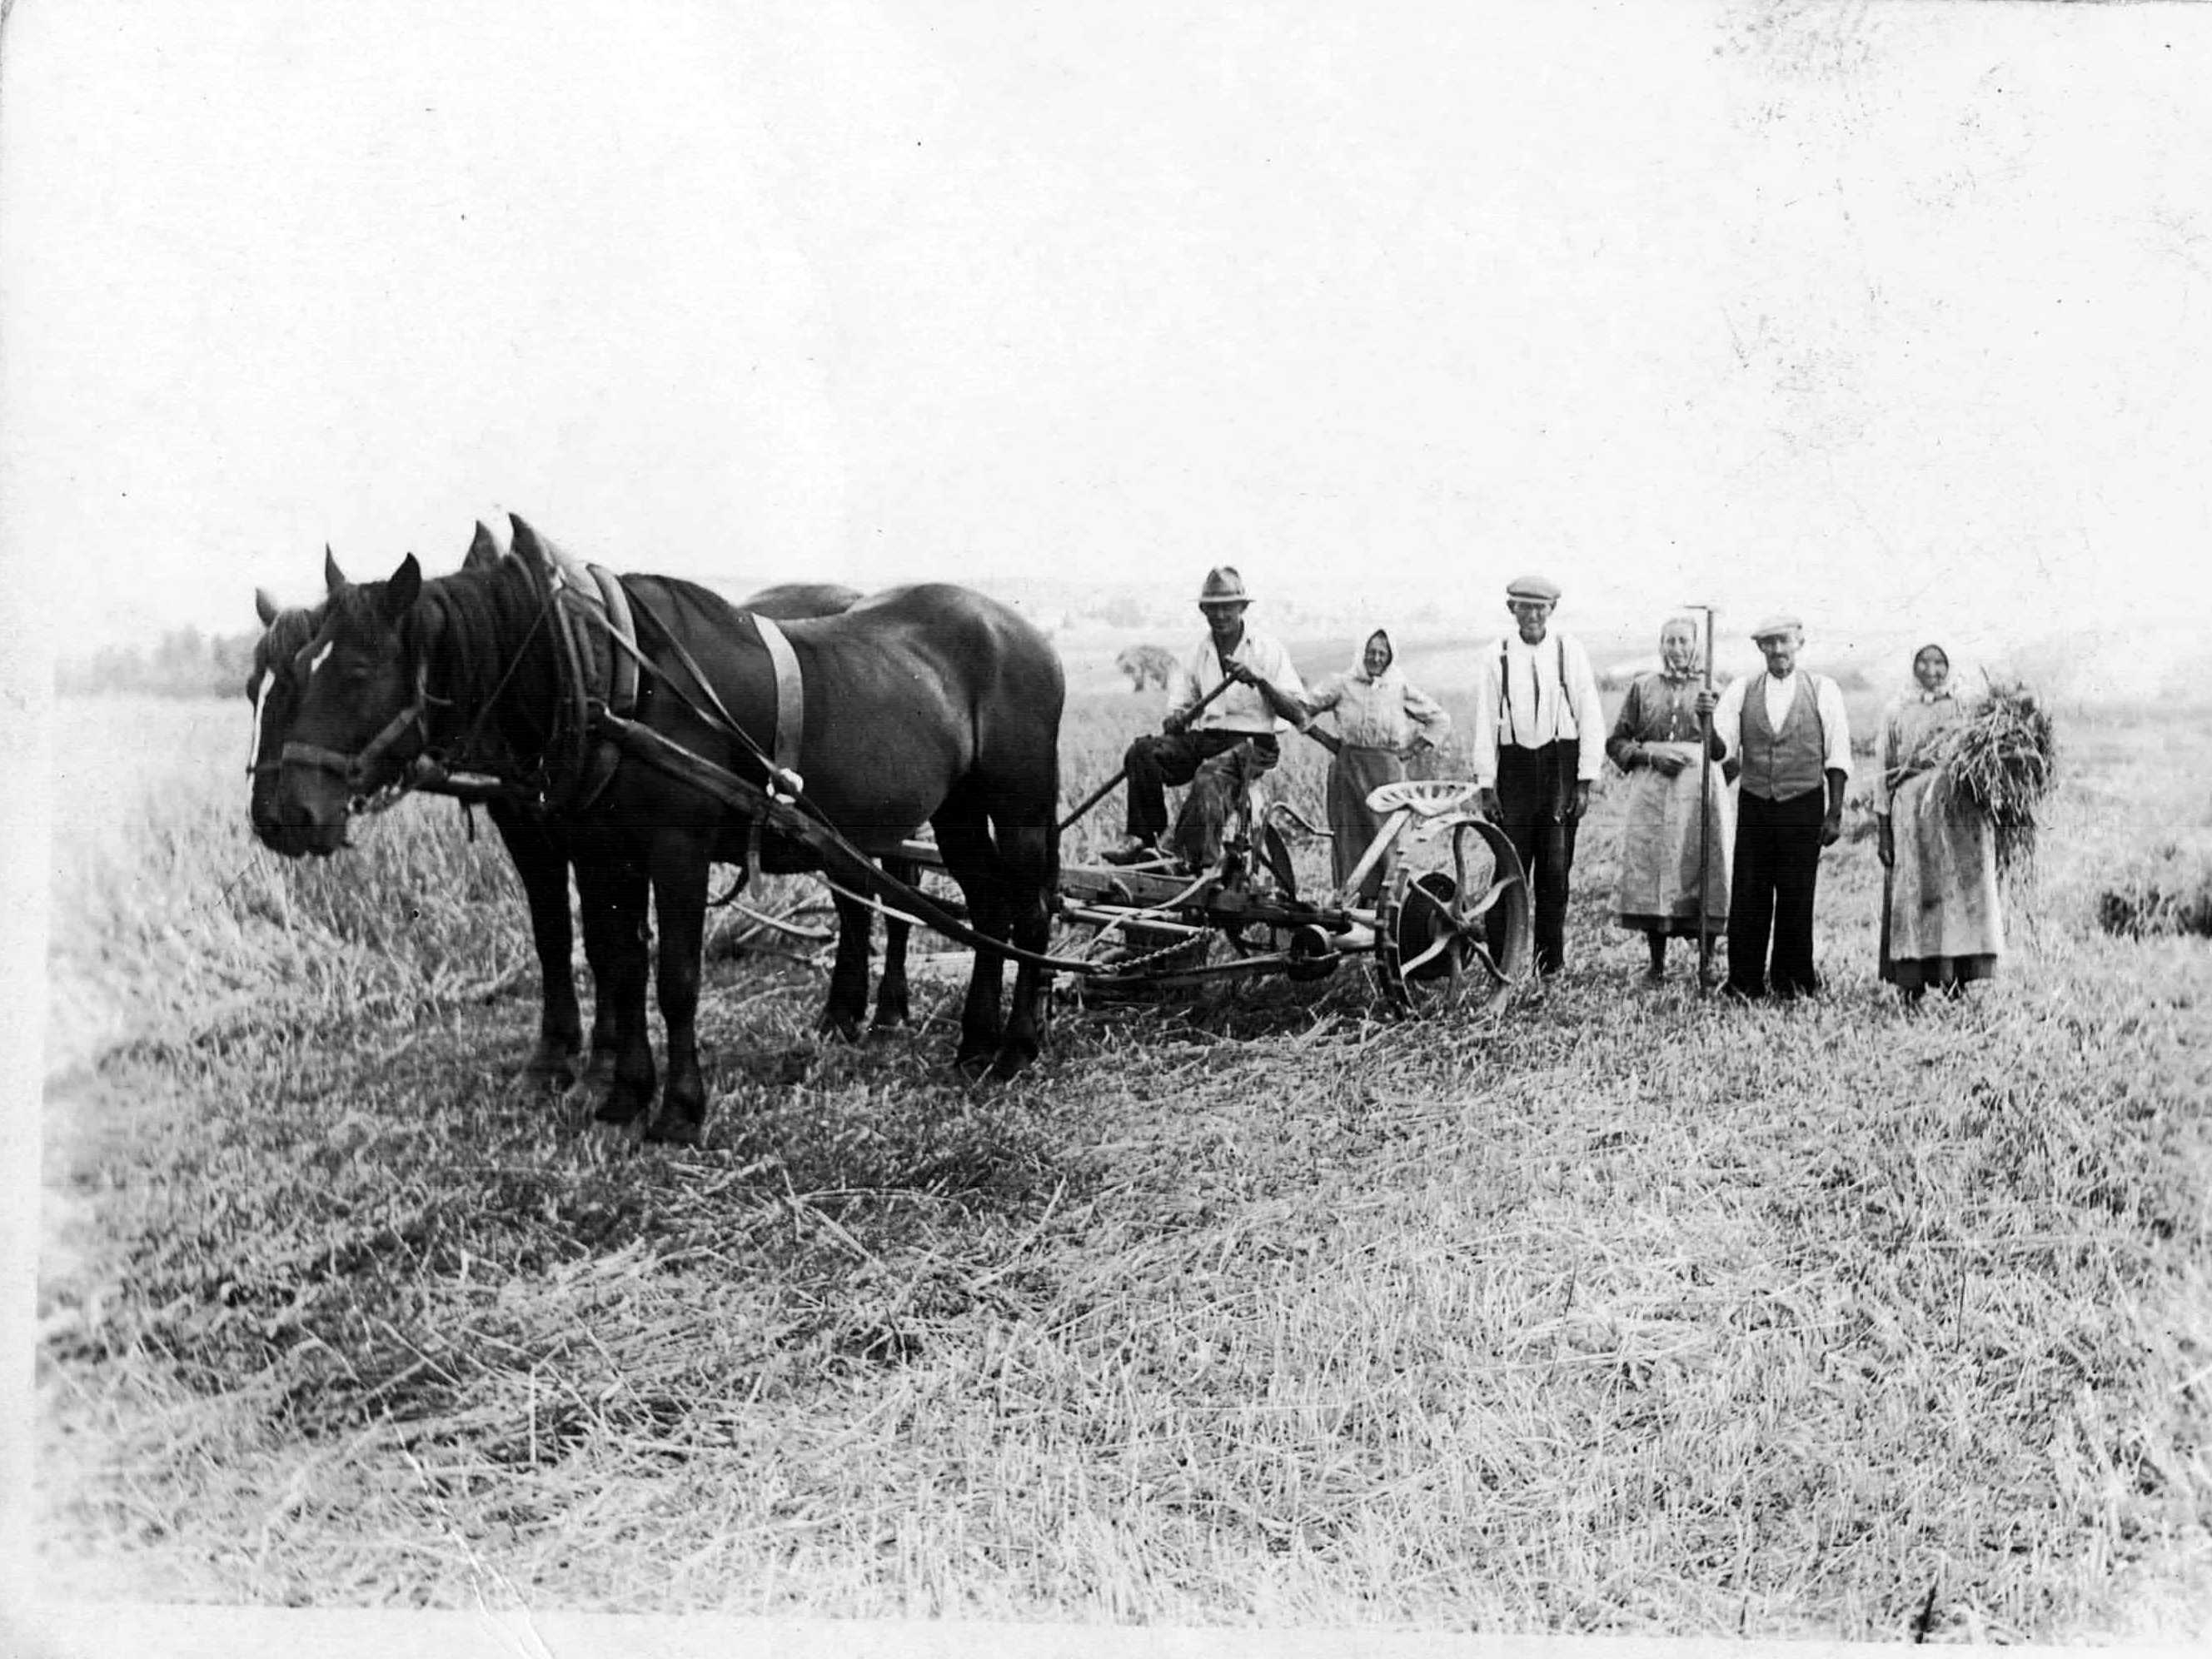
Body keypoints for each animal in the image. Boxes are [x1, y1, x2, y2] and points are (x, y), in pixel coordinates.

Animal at [270, 516, 1063, 1143]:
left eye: (357, 671)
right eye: (290, 672)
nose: (284, 814)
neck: (602, 676)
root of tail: (1029, 632)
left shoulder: (676, 850)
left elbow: (676, 976)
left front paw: (680, 1108)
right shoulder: (602, 852)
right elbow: (618, 964)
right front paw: (622, 1092)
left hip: (1019, 805)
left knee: (1027, 913)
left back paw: (1016, 1045)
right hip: (954, 810)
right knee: (985, 908)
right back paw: (974, 1040)